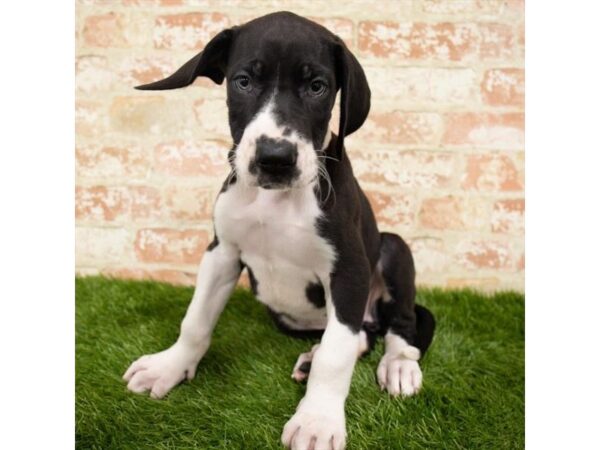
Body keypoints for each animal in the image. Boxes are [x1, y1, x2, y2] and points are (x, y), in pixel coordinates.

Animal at [124, 11, 436, 450]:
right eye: (243, 81)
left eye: (317, 86)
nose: (275, 158)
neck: (275, 201)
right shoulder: (221, 252)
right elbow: (196, 319)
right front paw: (169, 366)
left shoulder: (349, 270)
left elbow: (336, 355)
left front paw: (318, 420)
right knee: (361, 334)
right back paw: (311, 358)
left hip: (394, 249)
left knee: (399, 325)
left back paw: (398, 366)